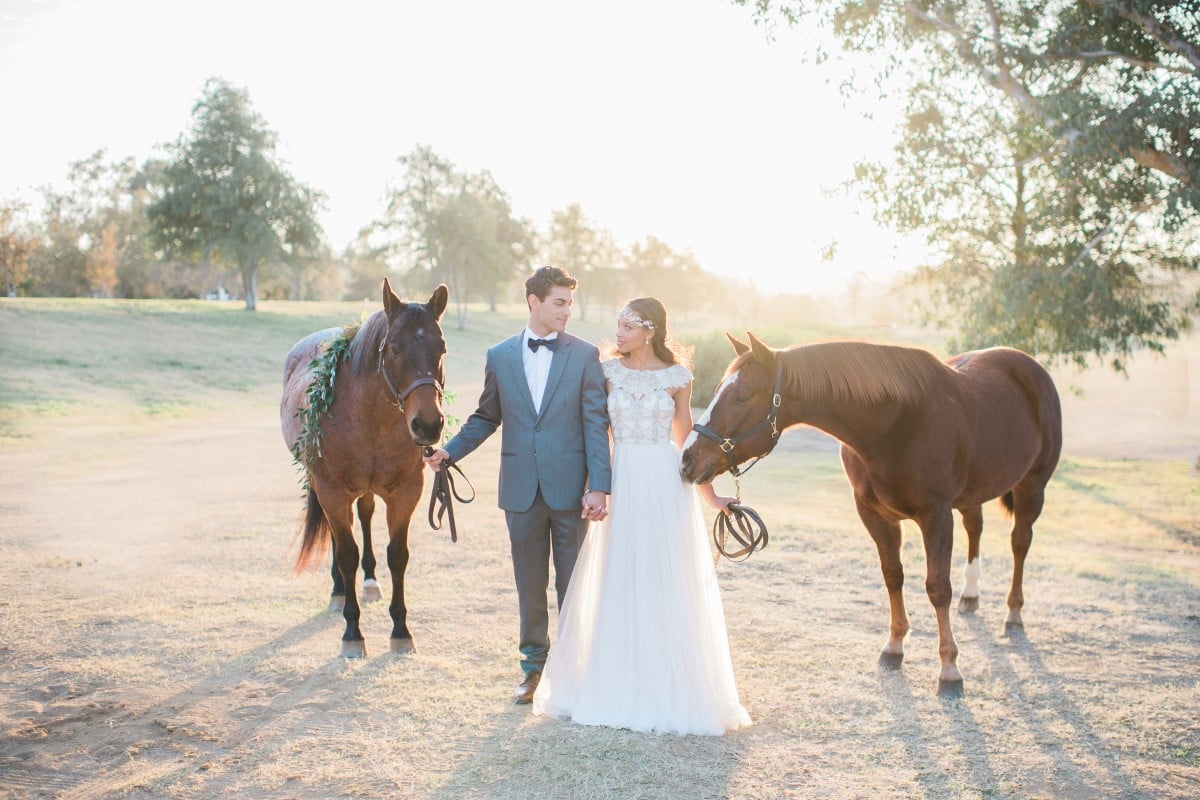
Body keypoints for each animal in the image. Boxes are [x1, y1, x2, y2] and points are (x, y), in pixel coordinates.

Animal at [280, 281, 451, 657]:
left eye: (442, 347)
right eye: (396, 349)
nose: (428, 425)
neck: (368, 419)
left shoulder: (406, 492)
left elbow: (397, 555)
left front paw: (401, 630)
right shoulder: (332, 491)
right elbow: (346, 554)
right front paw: (352, 632)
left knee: (366, 514)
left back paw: (370, 583)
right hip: (324, 489)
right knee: (337, 535)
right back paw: (338, 590)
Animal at [681, 331, 1065, 695]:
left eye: (742, 397)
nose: (687, 460)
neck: (893, 424)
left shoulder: (936, 515)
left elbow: (938, 588)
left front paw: (950, 670)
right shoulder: (873, 513)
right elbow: (892, 576)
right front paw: (894, 648)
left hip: (1032, 488)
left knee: (1020, 543)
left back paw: (1013, 614)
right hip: (973, 494)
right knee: (976, 527)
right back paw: (971, 597)